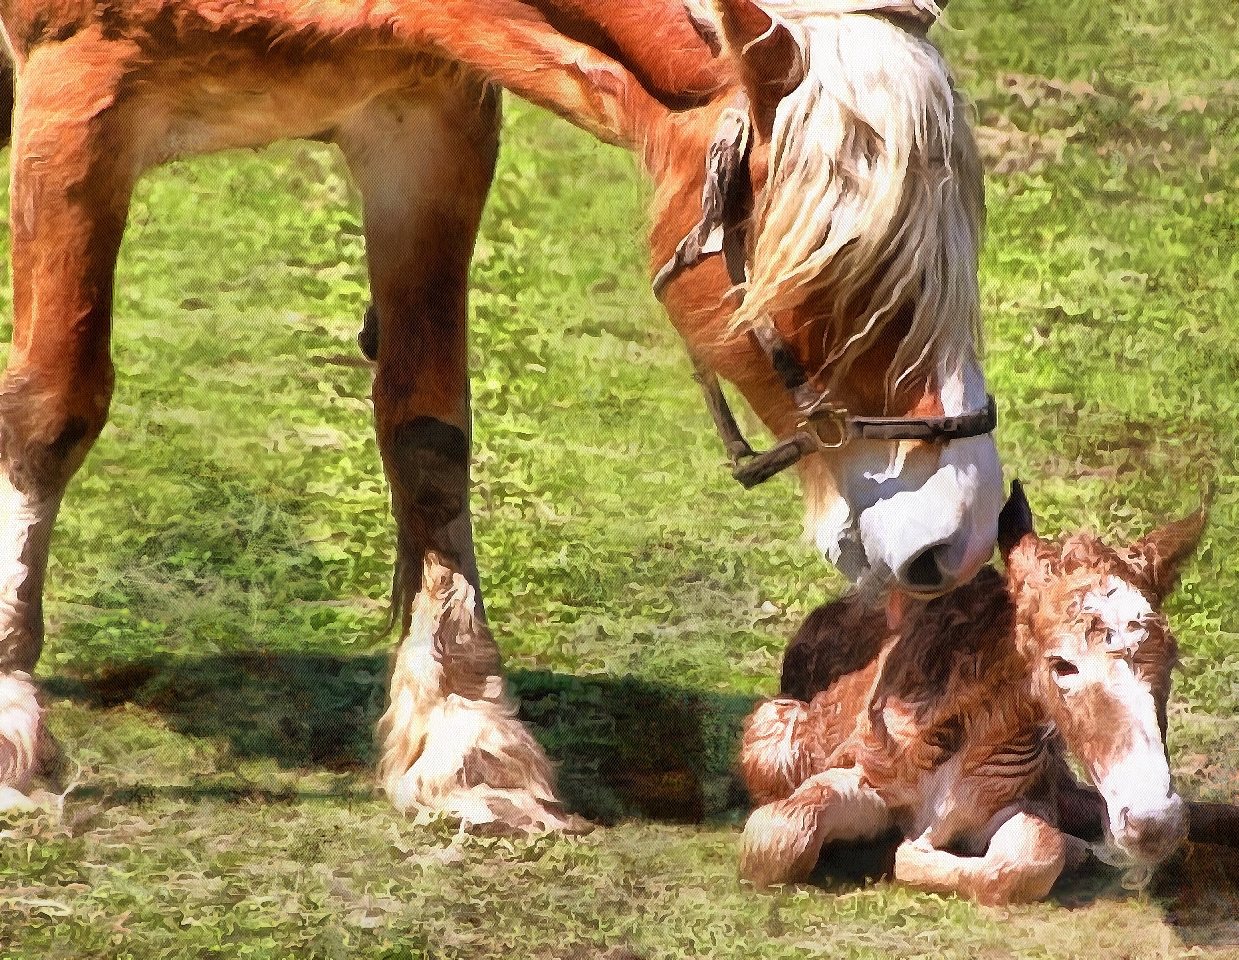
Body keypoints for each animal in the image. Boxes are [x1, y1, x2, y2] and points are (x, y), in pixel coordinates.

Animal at [0, 0, 1001, 827]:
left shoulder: (427, 121)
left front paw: (463, 735)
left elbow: (427, 434)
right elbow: (51, 406)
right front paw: (11, 707)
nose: (959, 533)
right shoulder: (75, 100)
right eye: (837, 276)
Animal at [738, 485, 1234, 906]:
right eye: (1061, 665)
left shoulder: (1015, 800)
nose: (1154, 824)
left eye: (1171, 658)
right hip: (773, 733)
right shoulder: (859, 775)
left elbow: (1032, 854)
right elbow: (779, 837)